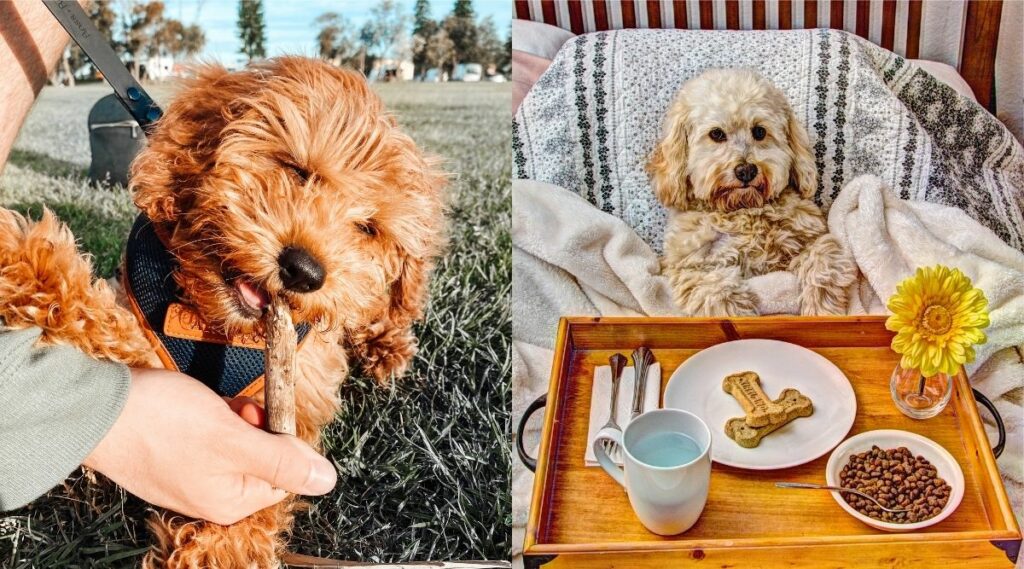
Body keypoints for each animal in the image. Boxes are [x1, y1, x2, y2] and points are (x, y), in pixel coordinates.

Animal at [1, 56, 448, 564]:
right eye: (296, 169)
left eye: (369, 228)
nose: (304, 271)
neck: (219, 327)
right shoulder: (144, 326)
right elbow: (108, 327)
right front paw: (26, 261)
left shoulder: (301, 391)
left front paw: (219, 550)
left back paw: (387, 347)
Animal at [647, 69, 856, 317]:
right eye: (716, 134)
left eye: (759, 131)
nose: (746, 170)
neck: (744, 209)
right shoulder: (693, 266)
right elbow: (719, 294)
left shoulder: (812, 239)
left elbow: (822, 261)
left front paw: (822, 309)